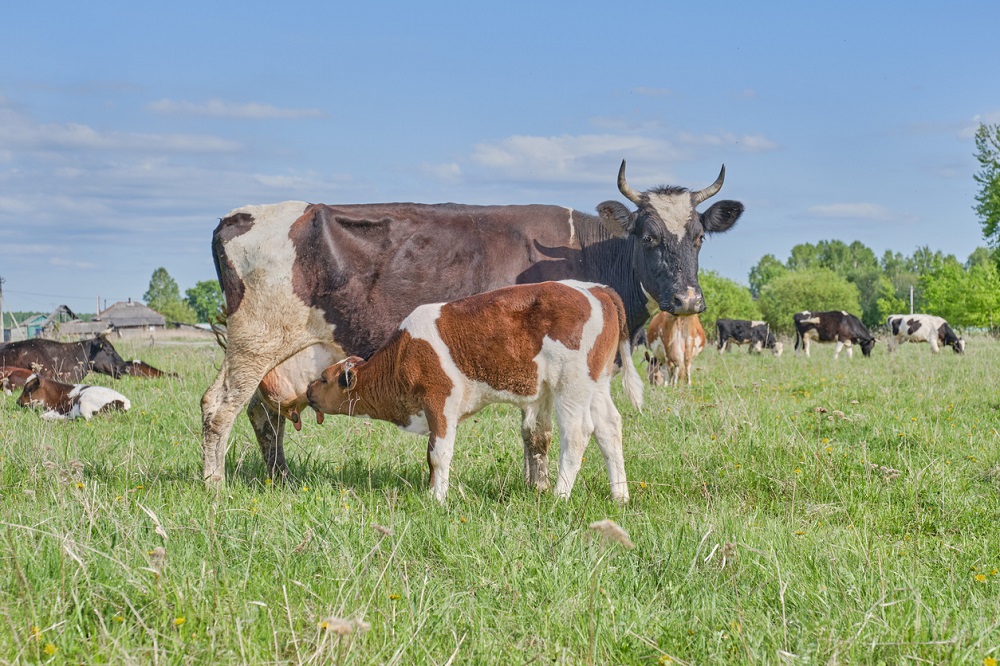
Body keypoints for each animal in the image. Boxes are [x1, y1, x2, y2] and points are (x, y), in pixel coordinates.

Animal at [302, 278, 640, 500]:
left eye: (324, 378)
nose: (307, 391)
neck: (403, 354)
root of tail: (596, 289)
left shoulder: (440, 401)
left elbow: (439, 453)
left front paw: (437, 499)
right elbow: (431, 454)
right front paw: (431, 490)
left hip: (570, 387)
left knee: (578, 433)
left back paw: (560, 495)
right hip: (597, 384)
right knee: (609, 428)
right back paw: (619, 495)